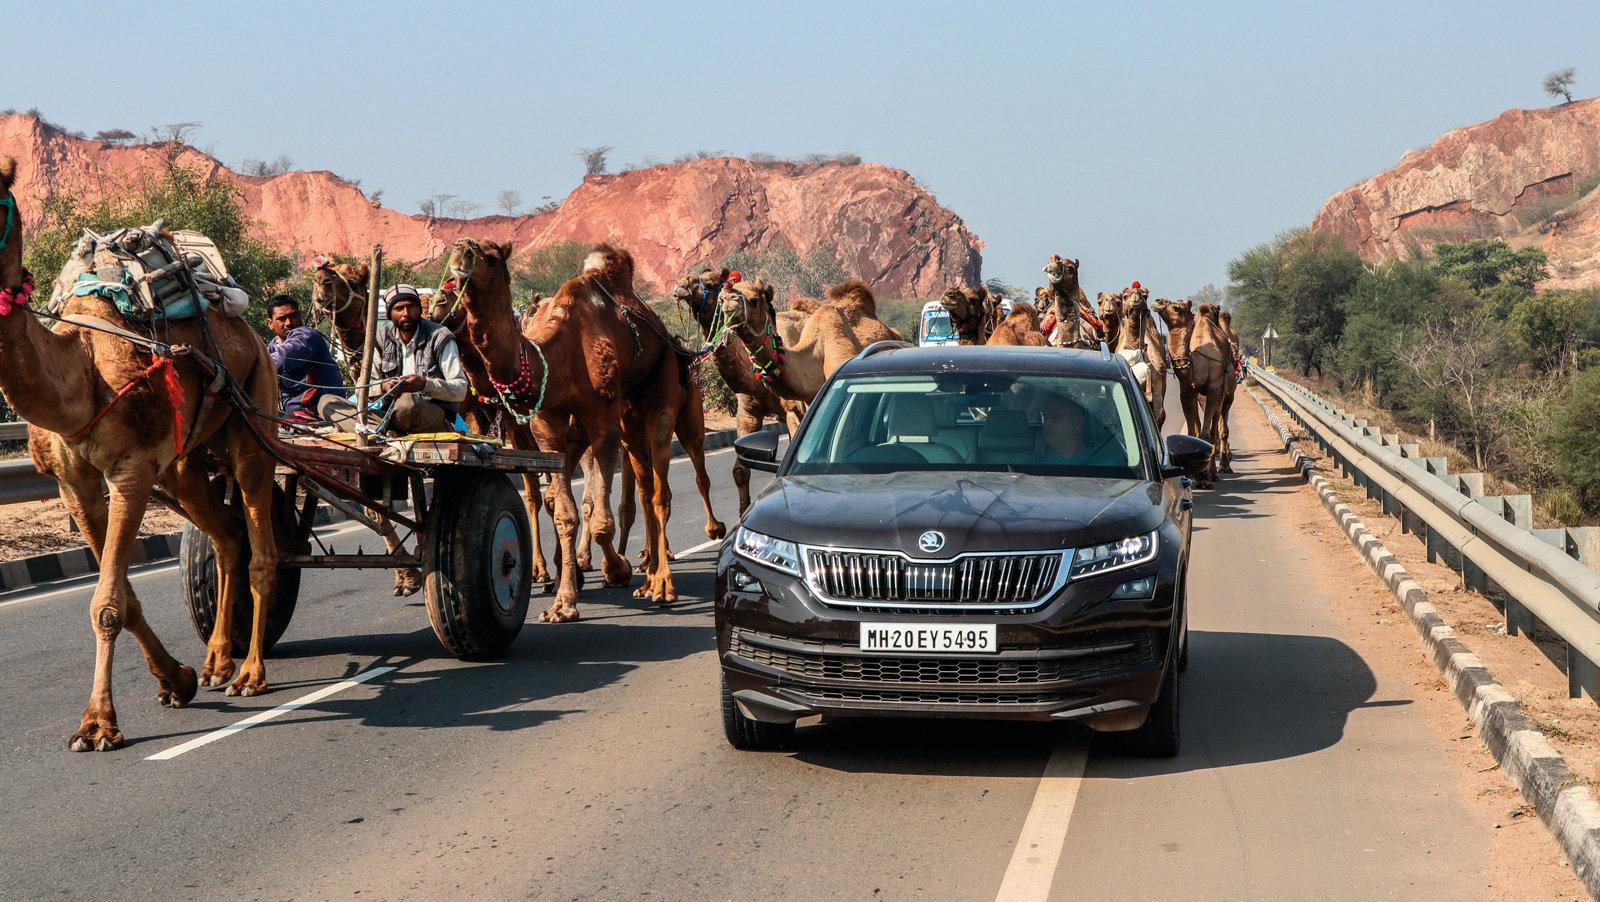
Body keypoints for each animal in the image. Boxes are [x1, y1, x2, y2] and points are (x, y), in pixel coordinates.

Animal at [0, 158, 281, 751]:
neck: (79, 370)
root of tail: (247, 327)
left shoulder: (129, 471)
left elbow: (106, 604)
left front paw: (97, 725)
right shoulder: (74, 482)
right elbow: (121, 598)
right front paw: (177, 680)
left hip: (254, 406)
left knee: (259, 542)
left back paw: (250, 674)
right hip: (181, 466)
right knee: (226, 535)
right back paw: (217, 662)